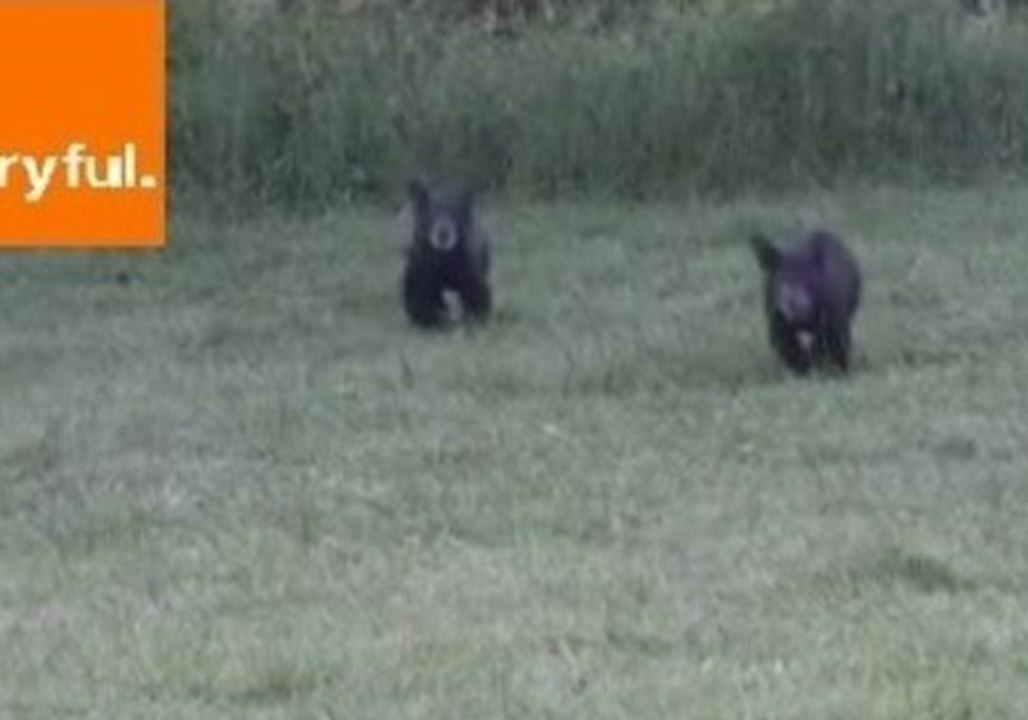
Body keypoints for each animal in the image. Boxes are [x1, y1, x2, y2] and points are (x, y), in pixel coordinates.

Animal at [399, 179, 492, 328]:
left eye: (454, 215)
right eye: (432, 215)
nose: (443, 233)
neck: (443, 258)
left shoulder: (471, 273)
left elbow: (477, 297)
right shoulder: (420, 272)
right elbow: (419, 301)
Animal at [749, 228, 862, 376]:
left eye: (807, 282)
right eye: (782, 282)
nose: (797, 310)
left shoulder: (835, 317)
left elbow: (838, 343)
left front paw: (839, 373)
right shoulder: (776, 320)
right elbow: (785, 346)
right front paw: (801, 372)